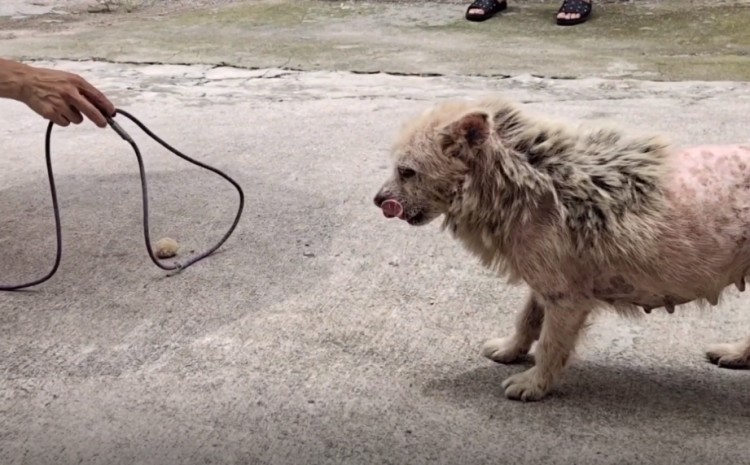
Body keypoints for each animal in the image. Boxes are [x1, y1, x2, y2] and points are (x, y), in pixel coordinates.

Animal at [376, 96, 750, 400]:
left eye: (407, 171)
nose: (377, 200)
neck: (525, 180)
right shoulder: (546, 281)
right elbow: (527, 318)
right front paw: (510, 350)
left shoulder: (567, 299)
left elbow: (550, 344)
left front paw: (534, 384)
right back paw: (737, 355)